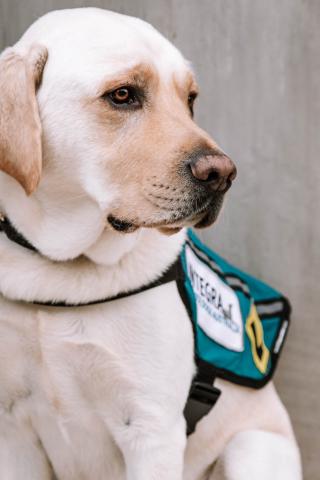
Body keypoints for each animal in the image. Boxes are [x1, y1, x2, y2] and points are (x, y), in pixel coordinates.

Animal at [0, 7, 302, 480]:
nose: (223, 174)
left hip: (251, 448)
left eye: (190, 99)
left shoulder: (151, 430)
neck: (61, 268)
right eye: (122, 94)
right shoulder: (13, 431)